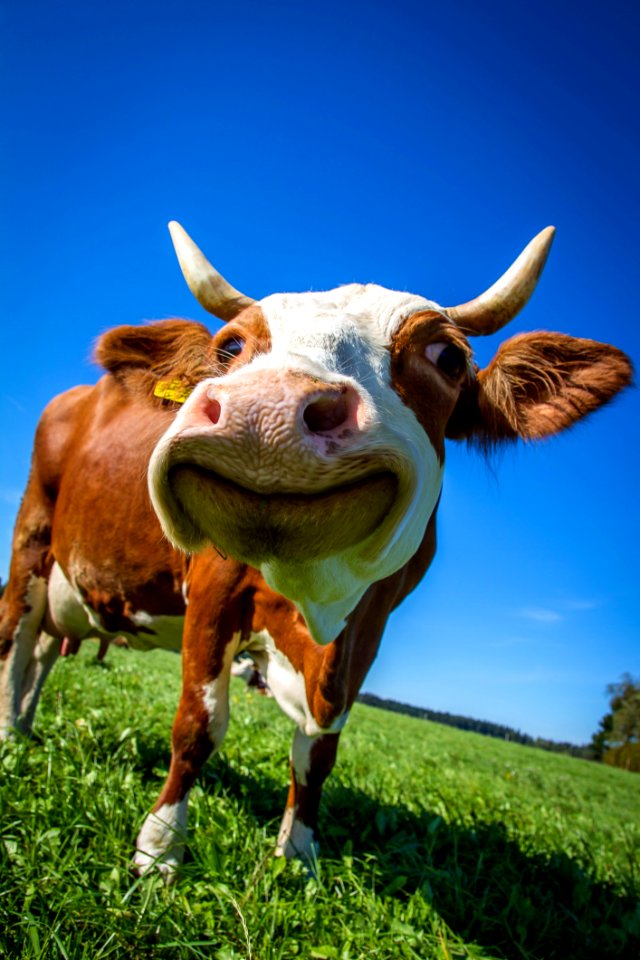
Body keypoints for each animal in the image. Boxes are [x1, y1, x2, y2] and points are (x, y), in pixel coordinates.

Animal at [0, 221, 632, 872]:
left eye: (449, 357)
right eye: (230, 347)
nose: (265, 410)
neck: (316, 602)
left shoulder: (368, 629)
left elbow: (318, 752)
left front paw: (298, 851)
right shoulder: (213, 590)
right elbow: (199, 724)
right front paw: (159, 848)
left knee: (44, 649)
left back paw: (26, 724)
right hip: (31, 541)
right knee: (16, 639)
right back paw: (9, 736)